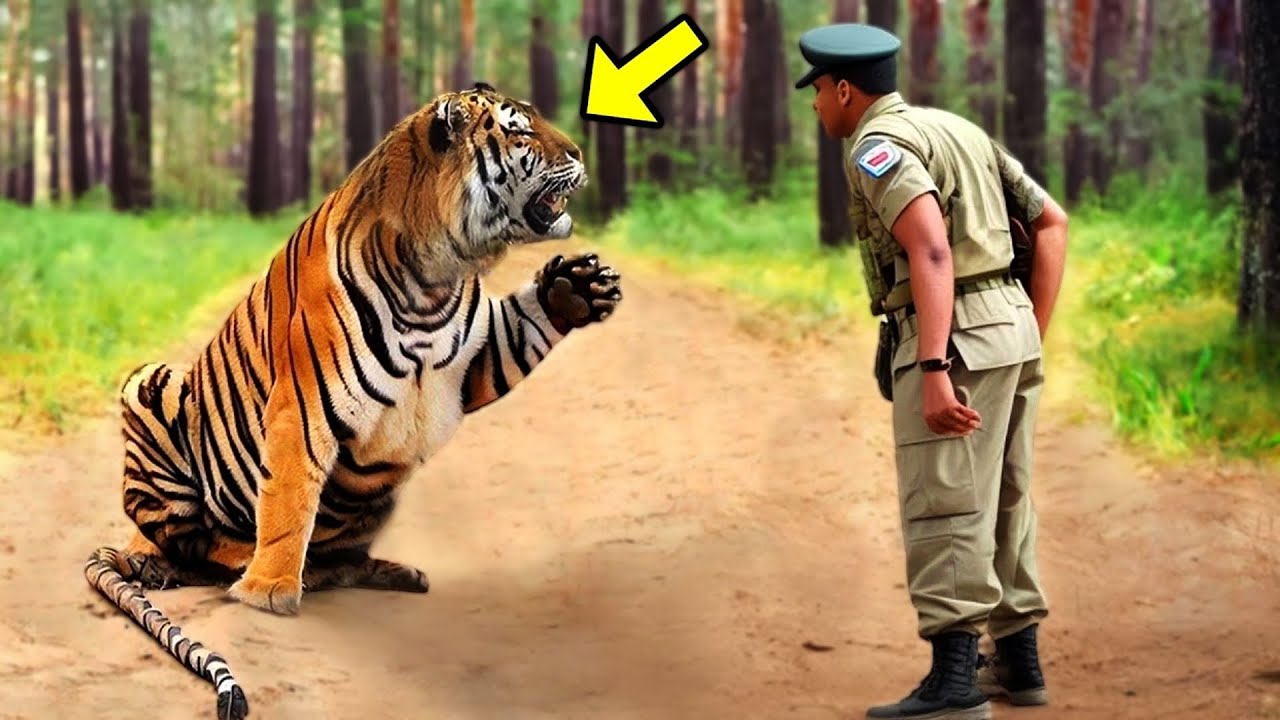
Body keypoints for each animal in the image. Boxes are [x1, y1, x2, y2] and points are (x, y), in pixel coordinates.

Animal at [82, 82, 622, 720]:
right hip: (151, 387)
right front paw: (268, 592)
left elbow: (522, 330)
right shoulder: (301, 408)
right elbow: (288, 501)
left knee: (334, 556)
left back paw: (386, 572)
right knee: (192, 545)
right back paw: (230, 563)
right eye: (520, 130)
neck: (440, 270)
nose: (581, 153)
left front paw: (575, 288)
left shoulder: (479, 357)